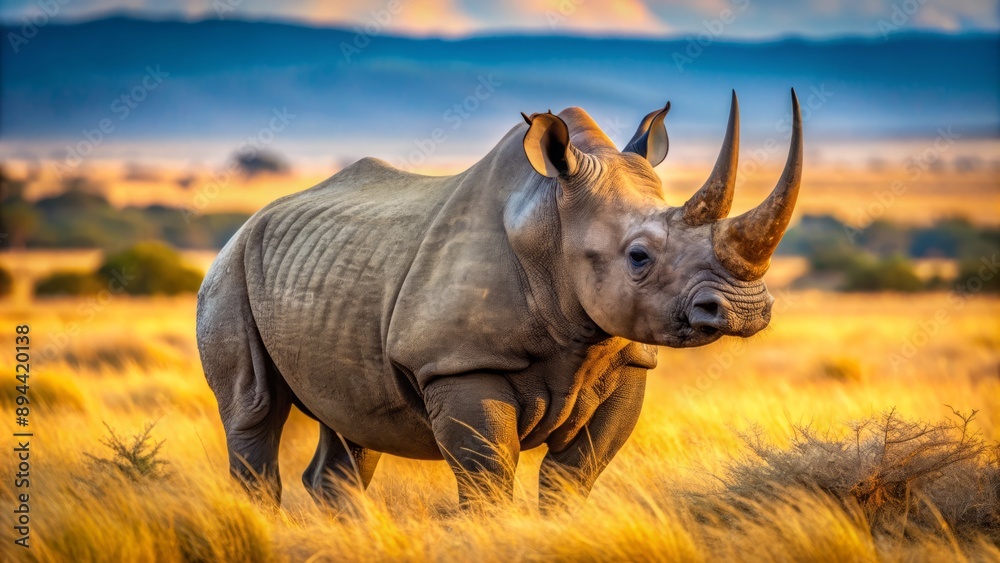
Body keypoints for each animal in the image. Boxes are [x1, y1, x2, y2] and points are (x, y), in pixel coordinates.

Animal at [197, 89, 803, 510]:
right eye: (638, 257)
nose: (745, 309)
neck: (550, 227)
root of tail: (248, 223)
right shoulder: (457, 363)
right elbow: (487, 480)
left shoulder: (628, 360)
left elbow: (572, 480)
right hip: (230, 270)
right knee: (255, 411)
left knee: (352, 426)